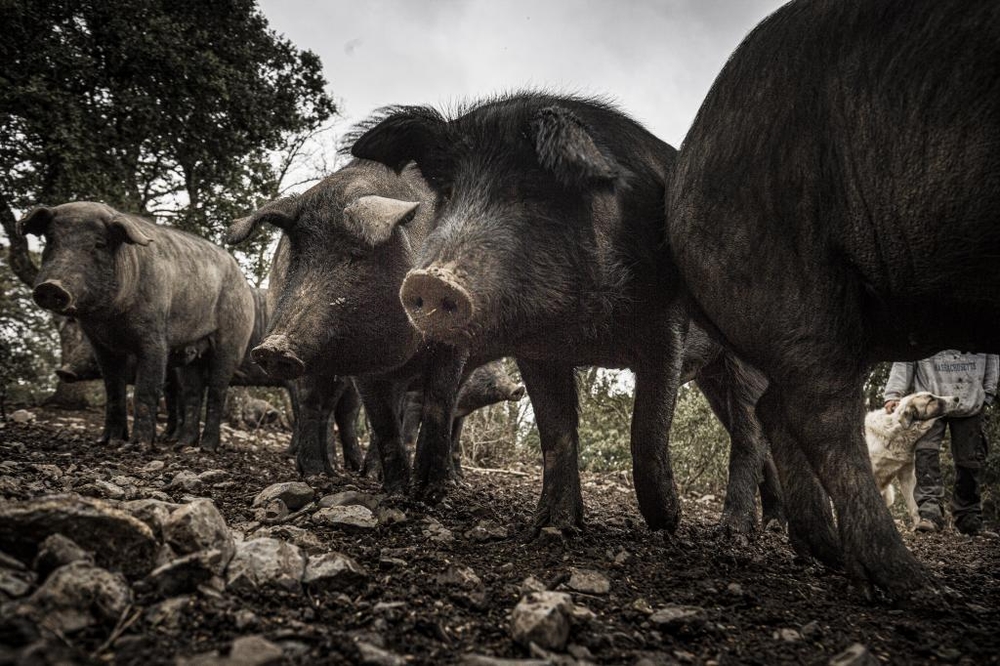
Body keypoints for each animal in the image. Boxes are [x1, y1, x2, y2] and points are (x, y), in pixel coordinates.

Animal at [868, 392, 960, 528]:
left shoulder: (907, 475)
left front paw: (919, 524)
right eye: (931, 399)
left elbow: (913, 506)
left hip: (889, 494)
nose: (956, 398)